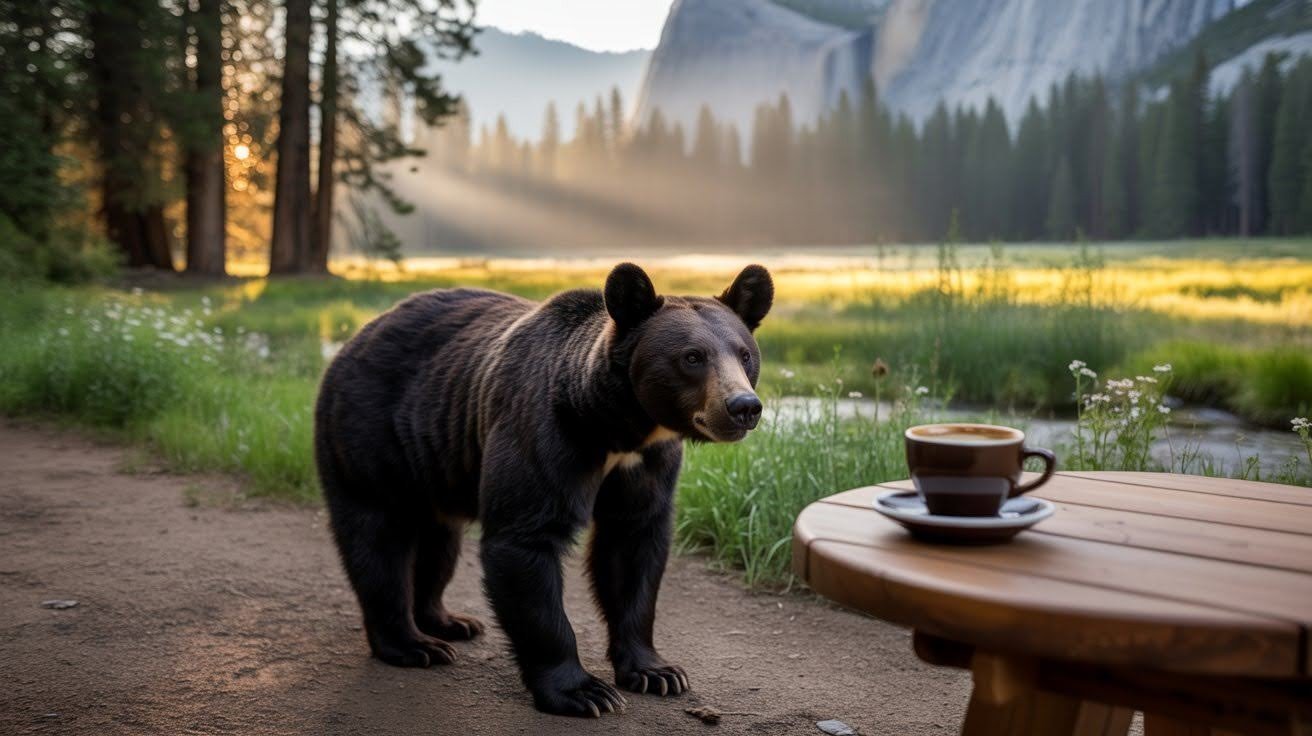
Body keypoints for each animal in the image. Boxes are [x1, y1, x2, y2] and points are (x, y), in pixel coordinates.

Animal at [313, 262, 773, 717]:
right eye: (692, 357)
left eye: (744, 354)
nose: (743, 407)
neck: (618, 427)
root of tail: (355, 338)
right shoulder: (545, 432)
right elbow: (525, 541)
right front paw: (584, 692)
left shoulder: (647, 464)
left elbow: (633, 548)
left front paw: (657, 671)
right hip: (368, 435)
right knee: (377, 539)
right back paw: (413, 644)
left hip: (436, 464)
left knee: (439, 543)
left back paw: (449, 621)